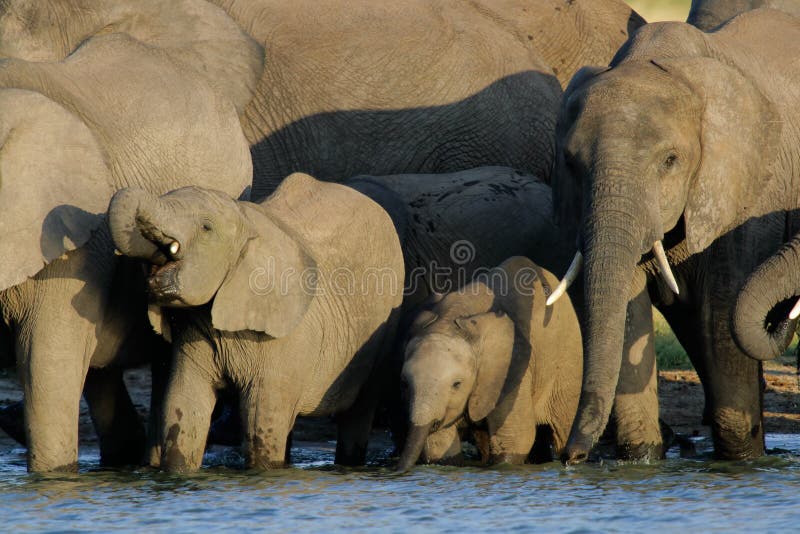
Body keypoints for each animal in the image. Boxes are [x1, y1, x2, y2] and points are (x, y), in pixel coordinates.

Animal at [108, 174, 404, 472]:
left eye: (206, 227)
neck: (246, 222)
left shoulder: (285, 337)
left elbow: (261, 423)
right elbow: (183, 407)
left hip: (386, 324)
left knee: (358, 411)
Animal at [398, 258, 580, 472]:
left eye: (457, 384)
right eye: (404, 384)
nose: (397, 470)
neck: (452, 318)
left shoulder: (512, 368)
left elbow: (515, 439)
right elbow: (440, 446)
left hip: (568, 361)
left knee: (562, 428)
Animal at [552, 8, 800, 462]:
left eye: (670, 161)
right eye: (571, 163)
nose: (570, 457)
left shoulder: (744, 190)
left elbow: (721, 312)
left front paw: (742, 461)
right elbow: (628, 307)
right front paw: (641, 460)